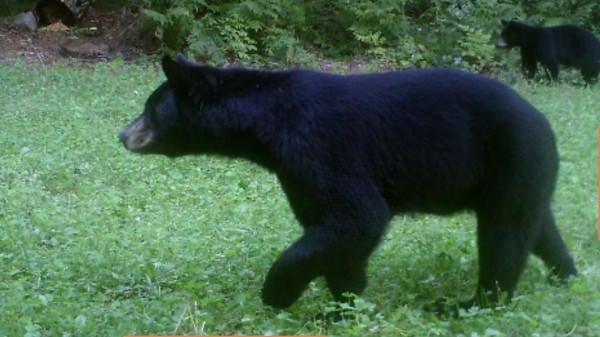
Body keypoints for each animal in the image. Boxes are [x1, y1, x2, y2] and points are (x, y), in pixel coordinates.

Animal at [118, 54, 576, 310]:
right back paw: (566, 275)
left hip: (511, 156)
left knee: (504, 234)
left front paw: (276, 293)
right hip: (522, 173)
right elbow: (336, 233)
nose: (122, 134)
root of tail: (545, 123)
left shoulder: (318, 147)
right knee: (538, 227)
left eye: (150, 109)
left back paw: (472, 303)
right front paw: (346, 304)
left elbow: (357, 215)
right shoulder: (295, 169)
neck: (267, 122)